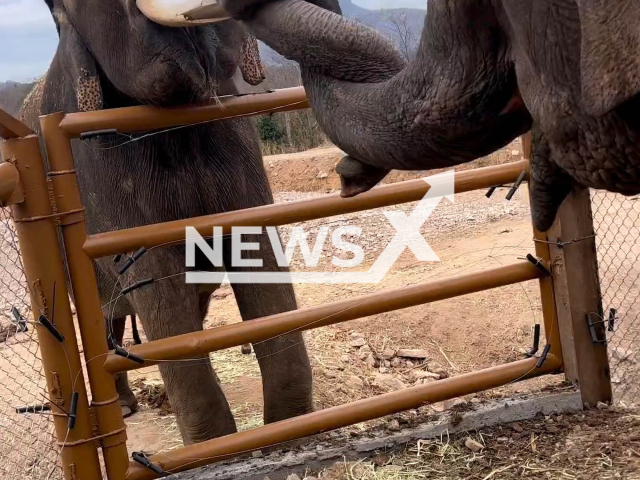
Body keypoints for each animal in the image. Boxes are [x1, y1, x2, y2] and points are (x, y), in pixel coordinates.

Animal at [21, 0, 316, 444]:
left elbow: (255, 247)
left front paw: (292, 436)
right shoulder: (101, 166)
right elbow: (153, 275)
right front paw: (223, 449)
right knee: (106, 314)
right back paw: (125, 408)